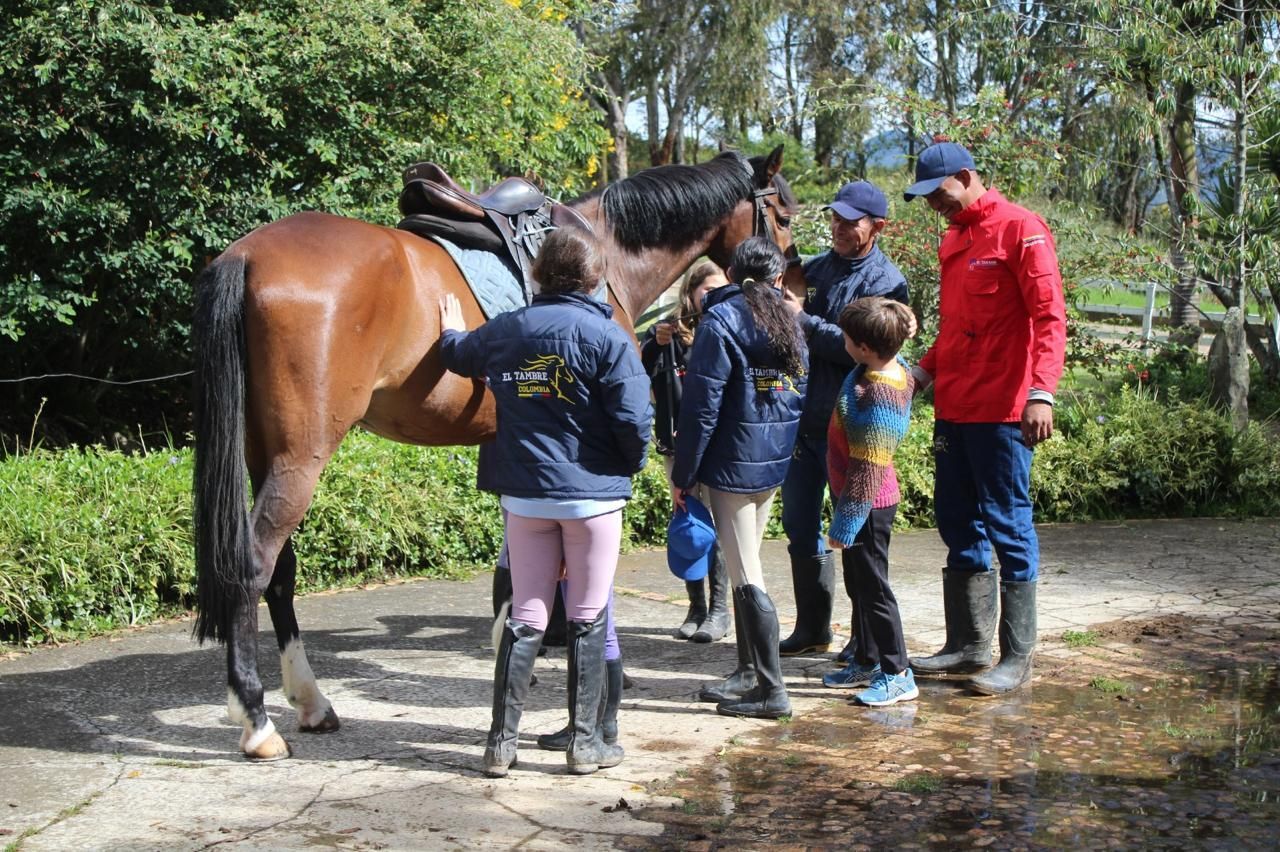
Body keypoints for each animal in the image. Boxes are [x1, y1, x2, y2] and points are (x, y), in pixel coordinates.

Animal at [191, 146, 802, 759]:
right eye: (783, 217)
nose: (791, 282)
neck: (606, 254)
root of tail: (246, 254)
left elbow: (518, 555)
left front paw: (523, 637)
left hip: (265, 454)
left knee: (280, 573)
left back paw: (311, 701)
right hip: (300, 459)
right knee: (254, 566)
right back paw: (257, 721)